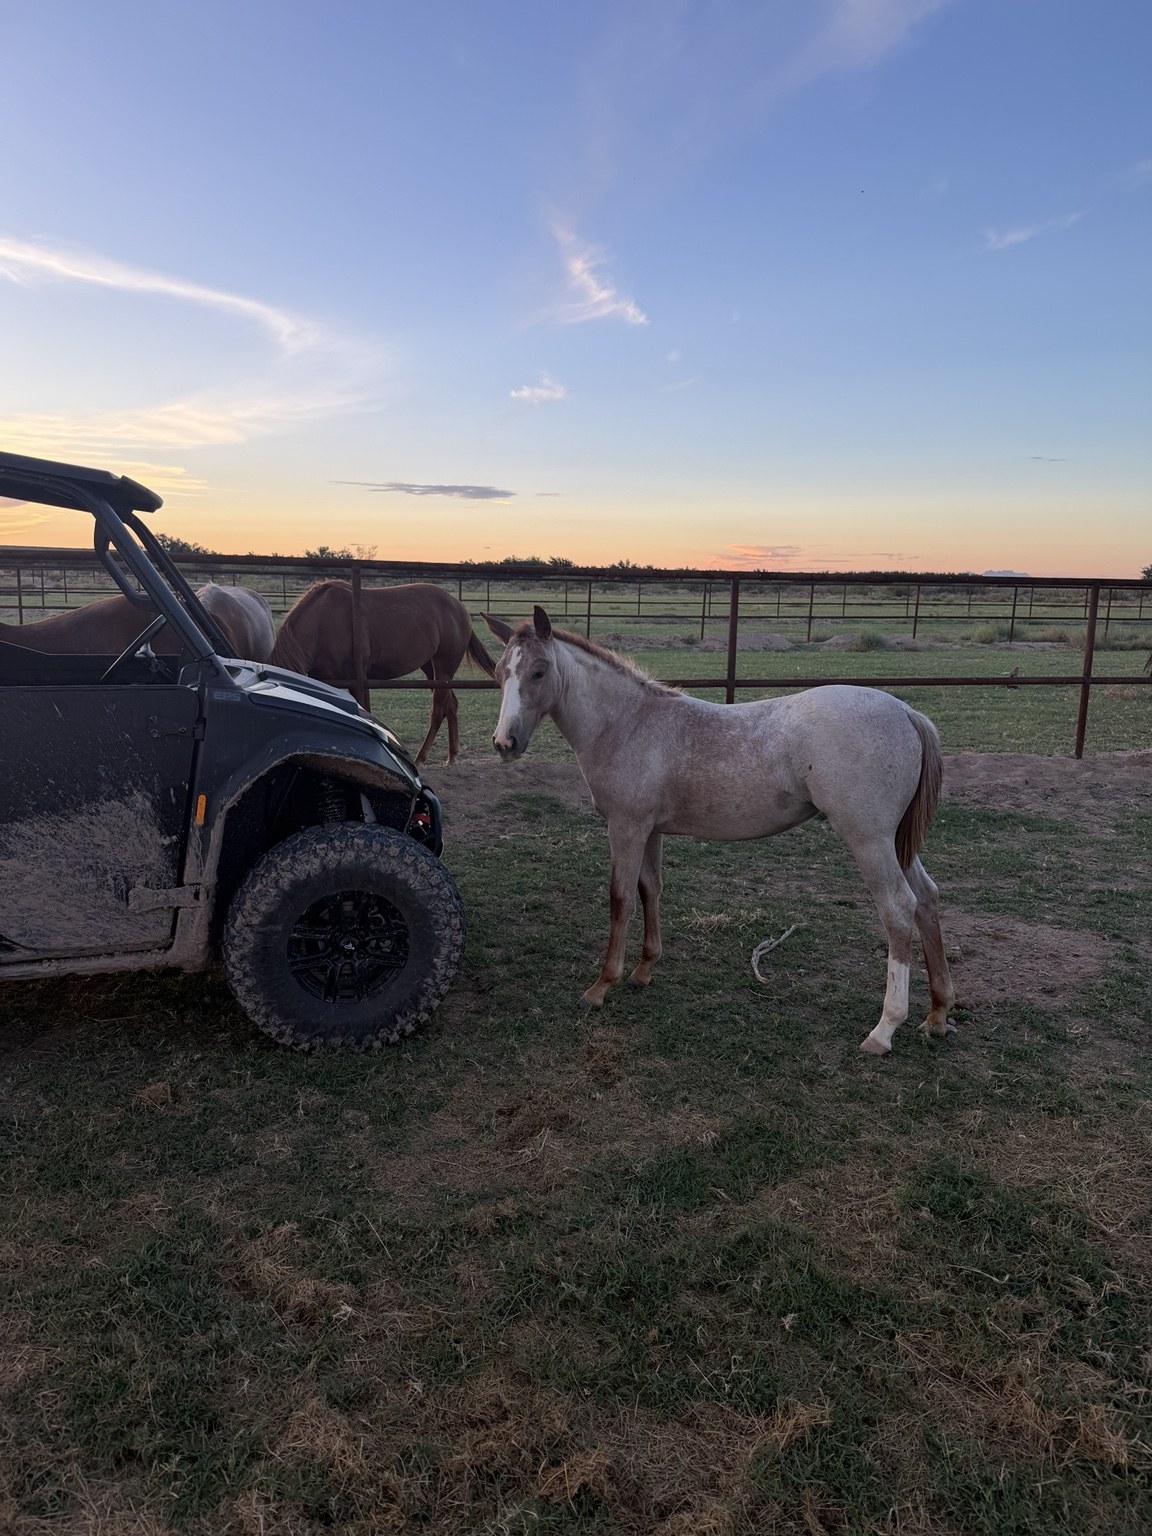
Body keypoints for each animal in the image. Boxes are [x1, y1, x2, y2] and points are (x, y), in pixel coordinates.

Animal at [270, 580, 498, 764]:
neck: (321, 622)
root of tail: (459, 607)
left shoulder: (358, 680)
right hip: (431, 669)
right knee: (451, 706)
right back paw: (451, 757)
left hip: (444, 669)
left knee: (437, 712)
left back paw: (420, 758)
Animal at [484, 606, 957, 1057]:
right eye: (500, 672)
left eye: (539, 671)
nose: (504, 744)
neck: (628, 724)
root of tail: (905, 712)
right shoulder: (650, 830)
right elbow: (650, 889)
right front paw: (644, 970)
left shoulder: (626, 826)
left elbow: (621, 899)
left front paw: (601, 986)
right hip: (896, 843)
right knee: (927, 898)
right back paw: (937, 1014)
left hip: (869, 840)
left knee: (898, 909)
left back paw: (884, 1030)